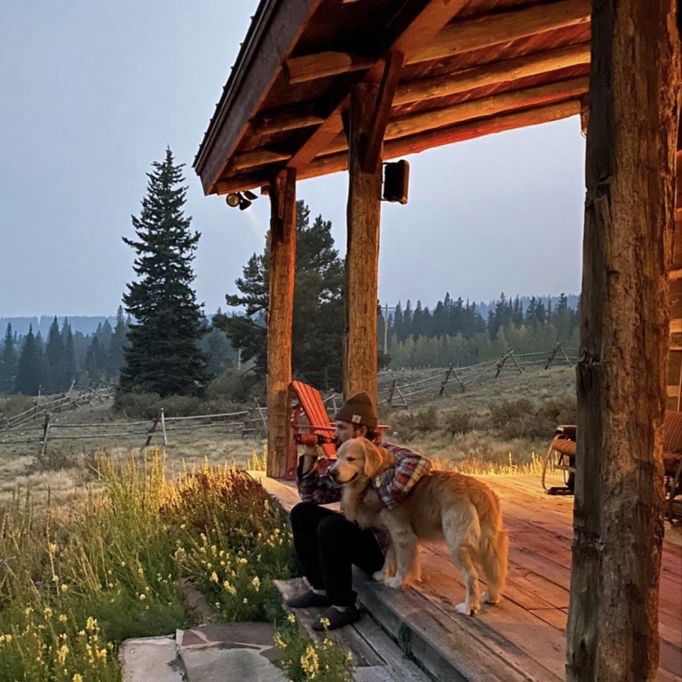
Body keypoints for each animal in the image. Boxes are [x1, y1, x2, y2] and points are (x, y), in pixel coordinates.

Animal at [330, 438, 504, 612]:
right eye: (337, 457)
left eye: (351, 459)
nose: (331, 472)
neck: (377, 475)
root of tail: (481, 493)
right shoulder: (391, 533)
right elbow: (389, 557)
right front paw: (384, 574)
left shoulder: (402, 534)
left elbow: (402, 562)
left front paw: (397, 581)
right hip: (489, 544)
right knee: (495, 572)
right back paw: (490, 597)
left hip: (457, 544)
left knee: (471, 576)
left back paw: (469, 607)